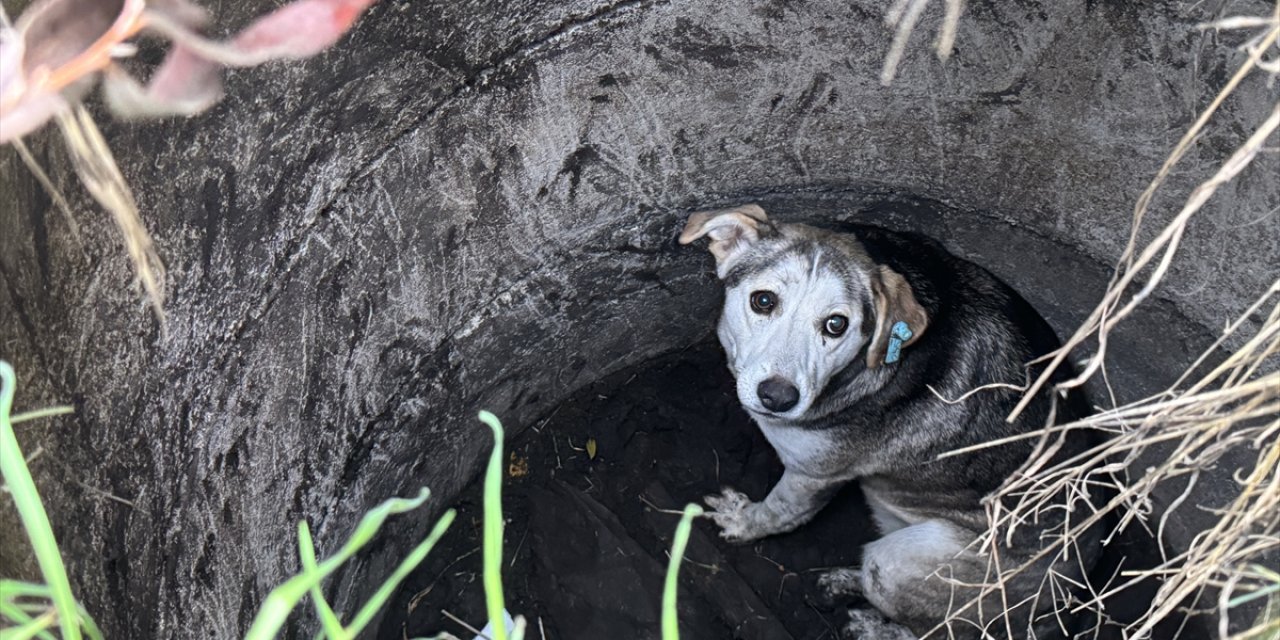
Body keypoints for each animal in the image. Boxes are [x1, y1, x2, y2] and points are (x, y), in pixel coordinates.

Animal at [680, 204, 1100, 640]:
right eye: (763, 301)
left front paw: (742, 523)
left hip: (900, 561)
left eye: (836, 325)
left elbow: (778, 512)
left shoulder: (812, 475)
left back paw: (873, 625)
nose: (778, 397)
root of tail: (1069, 599)